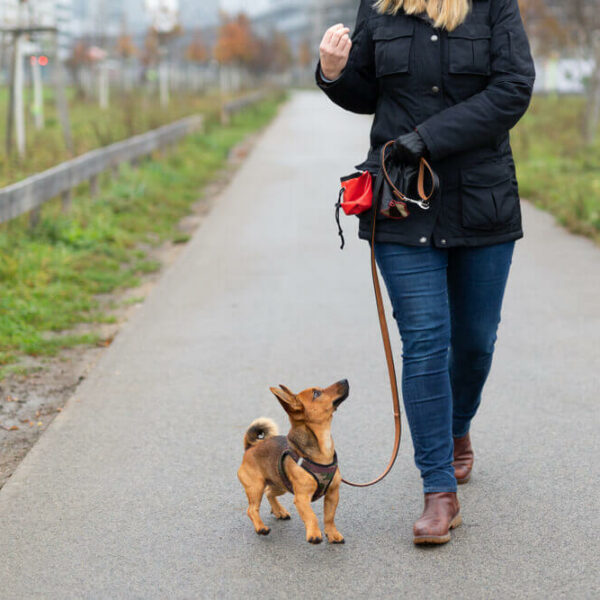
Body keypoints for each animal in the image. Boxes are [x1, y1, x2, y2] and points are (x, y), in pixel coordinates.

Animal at [238, 380, 350, 544]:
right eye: (316, 393)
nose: (345, 380)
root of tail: (250, 447)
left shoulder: (332, 494)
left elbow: (329, 517)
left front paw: (332, 533)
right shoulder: (302, 498)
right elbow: (312, 516)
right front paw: (314, 534)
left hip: (280, 485)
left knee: (269, 492)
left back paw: (279, 511)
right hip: (255, 487)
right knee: (252, 509)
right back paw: (261, 527)